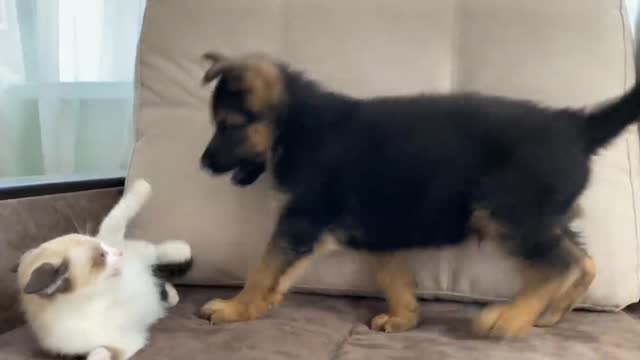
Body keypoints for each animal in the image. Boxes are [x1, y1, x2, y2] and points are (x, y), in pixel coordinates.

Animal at [14, 180, 190, 360]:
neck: (94, 302)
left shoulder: (112, 236)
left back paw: (181, 250)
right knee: (159, 277)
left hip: (141, 253)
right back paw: (171, 293)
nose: (119, 253)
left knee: (156, 254)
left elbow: (115, 217)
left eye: (102, 247)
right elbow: (99, 354)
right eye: (101, 255)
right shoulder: (124, 343)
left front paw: (142, 187)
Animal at [198, 52, 636, 338]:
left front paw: (236, 307)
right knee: (583, 262)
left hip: (506, 213)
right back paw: (552, 313)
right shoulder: (377, 230)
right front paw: (404, 318)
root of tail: (577, 126)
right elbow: (392, 276)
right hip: (537, 217)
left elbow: (263, 270)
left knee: (558, 266)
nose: (202, 164)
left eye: (227, 126)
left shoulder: (301, 220)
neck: (295, 125)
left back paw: (509, 320)